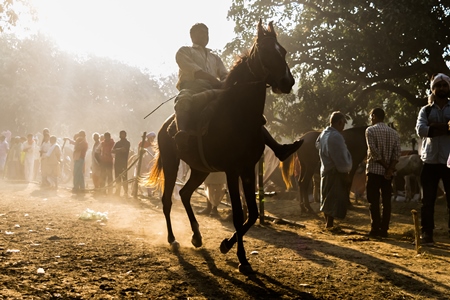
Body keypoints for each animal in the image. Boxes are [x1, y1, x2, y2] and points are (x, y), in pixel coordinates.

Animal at [147, 20, 296, 274]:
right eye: (266, 52)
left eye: (283, 51)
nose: (288, 82)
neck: (239, 115)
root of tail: (166, 126)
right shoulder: (232, 171)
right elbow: (237, 214)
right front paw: (242, 259)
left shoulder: (247, 169)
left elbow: (252, 214)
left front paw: (226, 245)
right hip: (171, 162)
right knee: (167, 200)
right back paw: (172, 239)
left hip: (200, 169)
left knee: (185, 194)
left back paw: (197, 236)